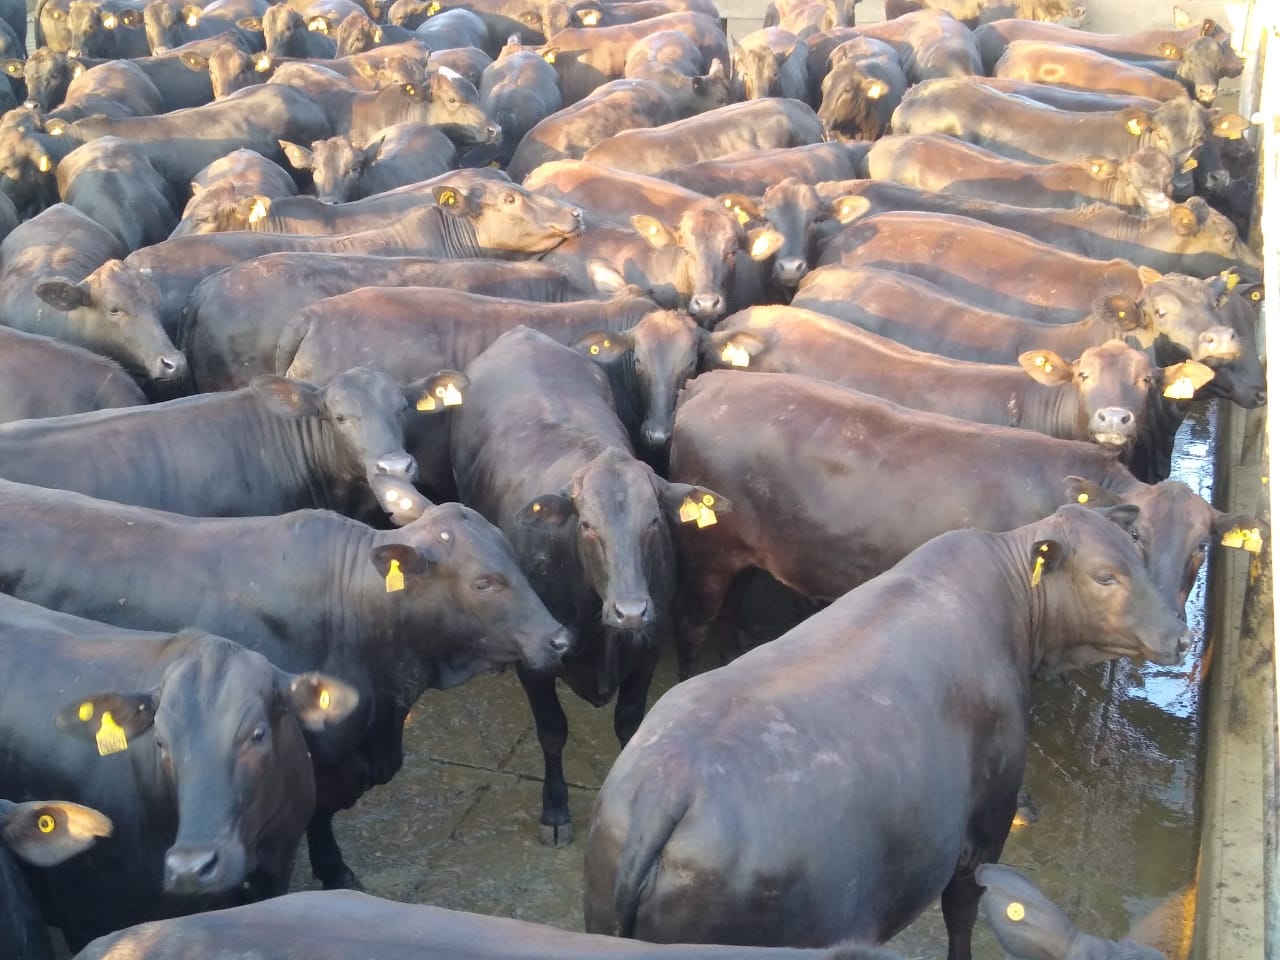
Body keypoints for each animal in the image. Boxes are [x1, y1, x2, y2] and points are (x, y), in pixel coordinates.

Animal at [586, 506, 1182, 957]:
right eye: (1105, 575)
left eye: (1139, 554)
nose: (1179, 634)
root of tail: (668, 784)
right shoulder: (985, 828)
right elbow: (962, 914)